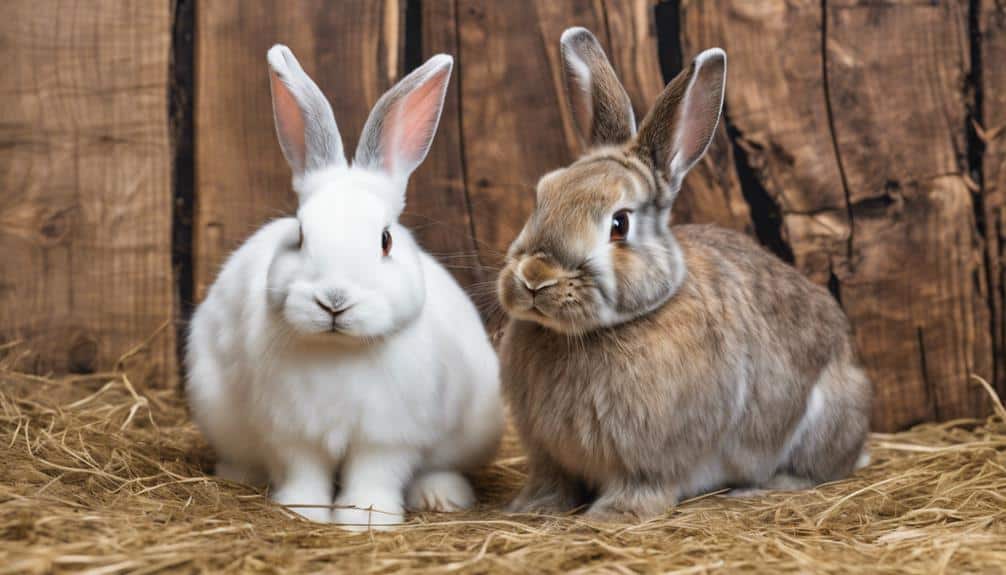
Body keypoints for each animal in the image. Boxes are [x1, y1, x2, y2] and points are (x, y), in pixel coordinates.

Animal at [186, 45, 503, 529]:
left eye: (385, 240)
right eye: (300, 235)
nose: (334, 300)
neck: (340, 352)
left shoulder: (388, 436)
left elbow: (375, 474)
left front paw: (366, 519)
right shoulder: (291, 431)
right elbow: (303, 470)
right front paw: (303, 511)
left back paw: (440, 495)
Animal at [496, 27, 872, 521]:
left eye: (619, 224)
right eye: (543, 195)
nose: (535, 277)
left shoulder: (650, 458)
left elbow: (642, 485)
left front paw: (614, 515)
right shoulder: (548, 456)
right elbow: (551, 482)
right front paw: (529, 508)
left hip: (823, 420)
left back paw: (758, 489)